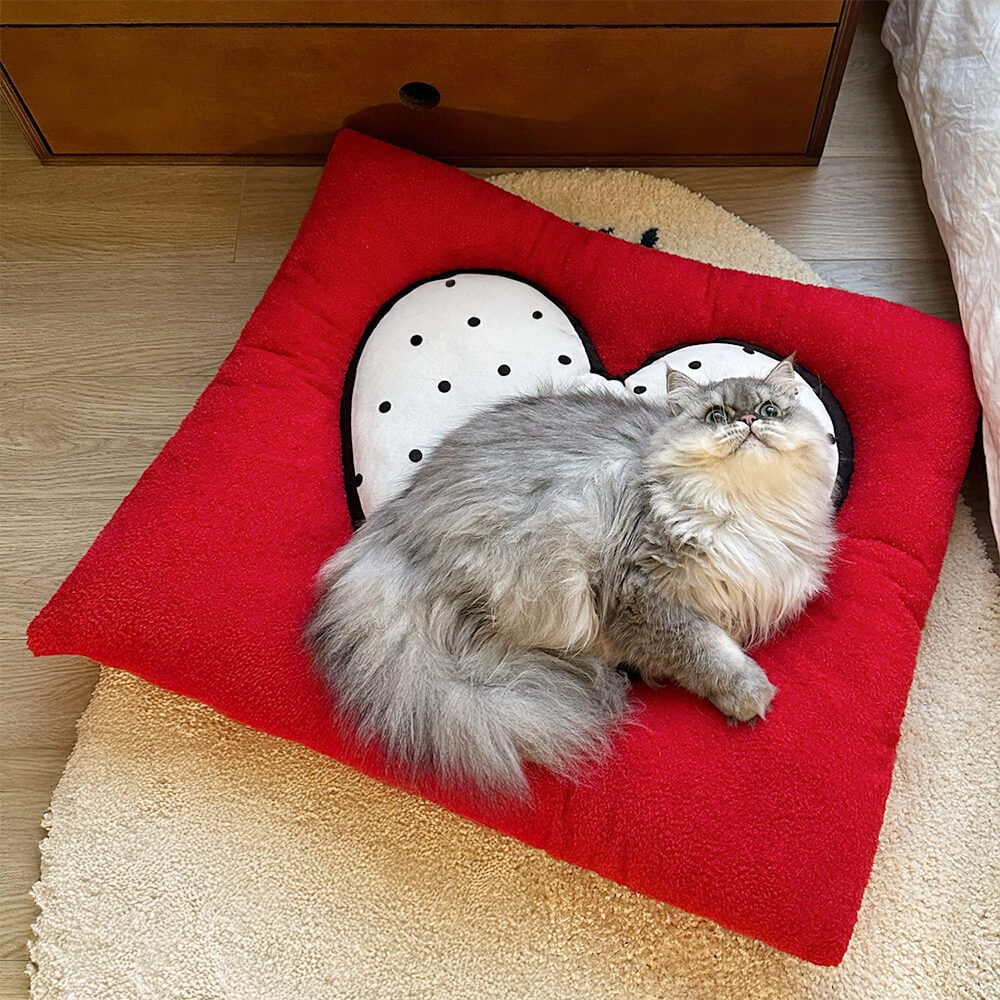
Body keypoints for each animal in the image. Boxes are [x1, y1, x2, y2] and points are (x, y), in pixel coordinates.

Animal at [308, 358, 840, 796]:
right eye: (716, 416)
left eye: (769, 410)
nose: (748, 421)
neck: (741, 509)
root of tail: (394, 528)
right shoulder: (638, 594)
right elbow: (707, 647)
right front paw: (747, 692)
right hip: (549, 568)